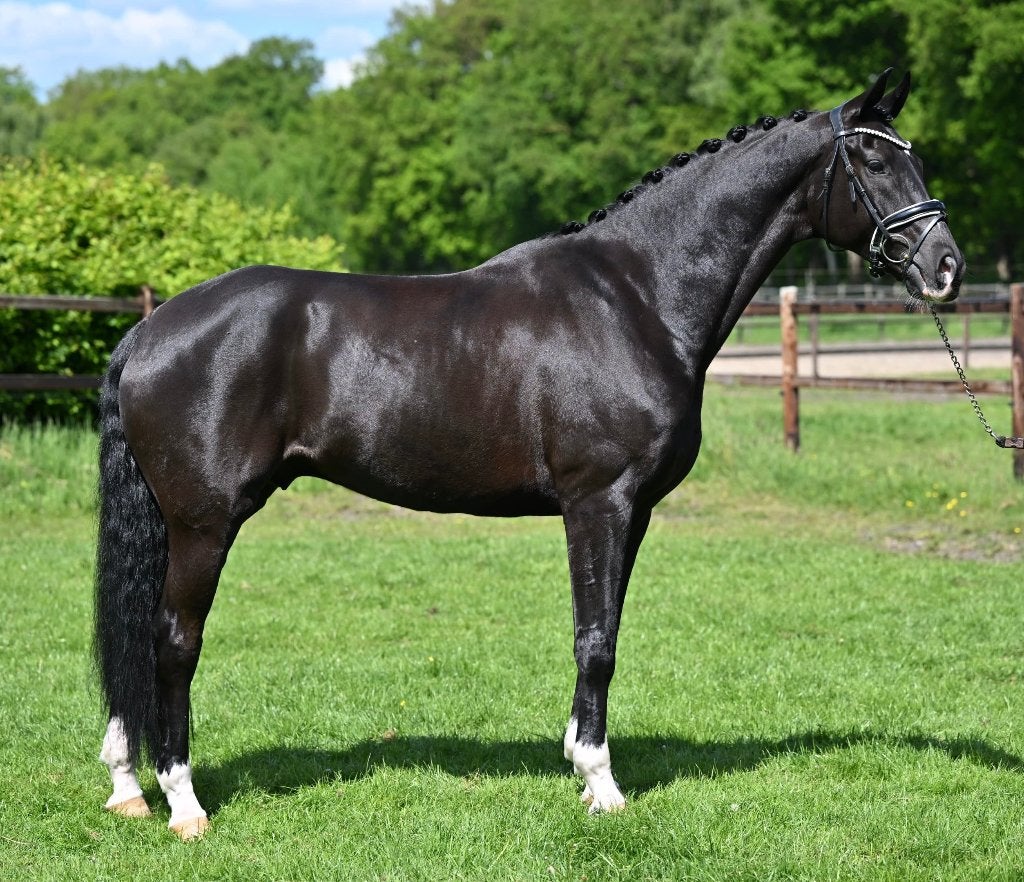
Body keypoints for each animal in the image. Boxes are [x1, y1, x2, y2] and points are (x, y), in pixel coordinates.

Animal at [94, 68, 964, 840]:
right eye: (874, 160)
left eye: (914, 155)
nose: (945, 266)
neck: (637, 296)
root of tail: (149, 330)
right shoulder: (598, 502)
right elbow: (596, 640)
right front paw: (602, 786)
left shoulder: (631, 513)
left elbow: (605, 627)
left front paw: (583, 765)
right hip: (204, 523)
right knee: (171, 642)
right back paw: (184, 805)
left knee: (132, 636)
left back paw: (128, 788)